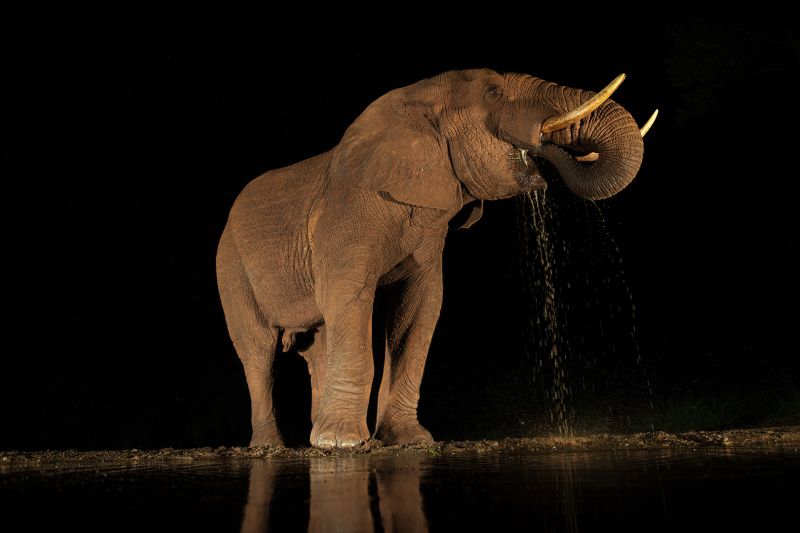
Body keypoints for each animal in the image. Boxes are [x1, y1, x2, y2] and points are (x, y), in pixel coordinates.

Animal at [216, 68, 655, 448]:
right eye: (493, 92)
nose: (541, 159)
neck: (413, 102)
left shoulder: (428, 230)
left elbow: (419, 308)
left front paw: (409, 440)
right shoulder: (345, 216)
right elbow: (349, 298)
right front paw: (343, 444)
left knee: (316, 345)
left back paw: (312, 435)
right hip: (230, 266)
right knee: (258, 352)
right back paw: (274, 445)